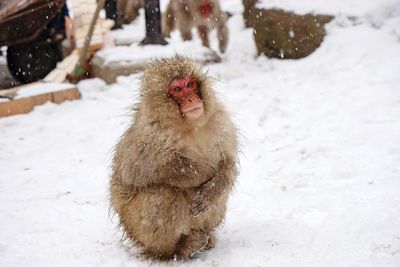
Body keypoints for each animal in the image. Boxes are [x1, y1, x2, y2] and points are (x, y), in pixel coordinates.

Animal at [109, 55, 238, 260]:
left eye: (190, 84)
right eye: (177, 89)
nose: (191, 98)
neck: (190, 126)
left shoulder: (221, 122)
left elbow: (228, 163)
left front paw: (212, 189)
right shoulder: (150, 137)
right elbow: (141, 172)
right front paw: (205, 170)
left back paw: (203, 240)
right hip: (136, 227)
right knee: (162, 194)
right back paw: (176, 250)